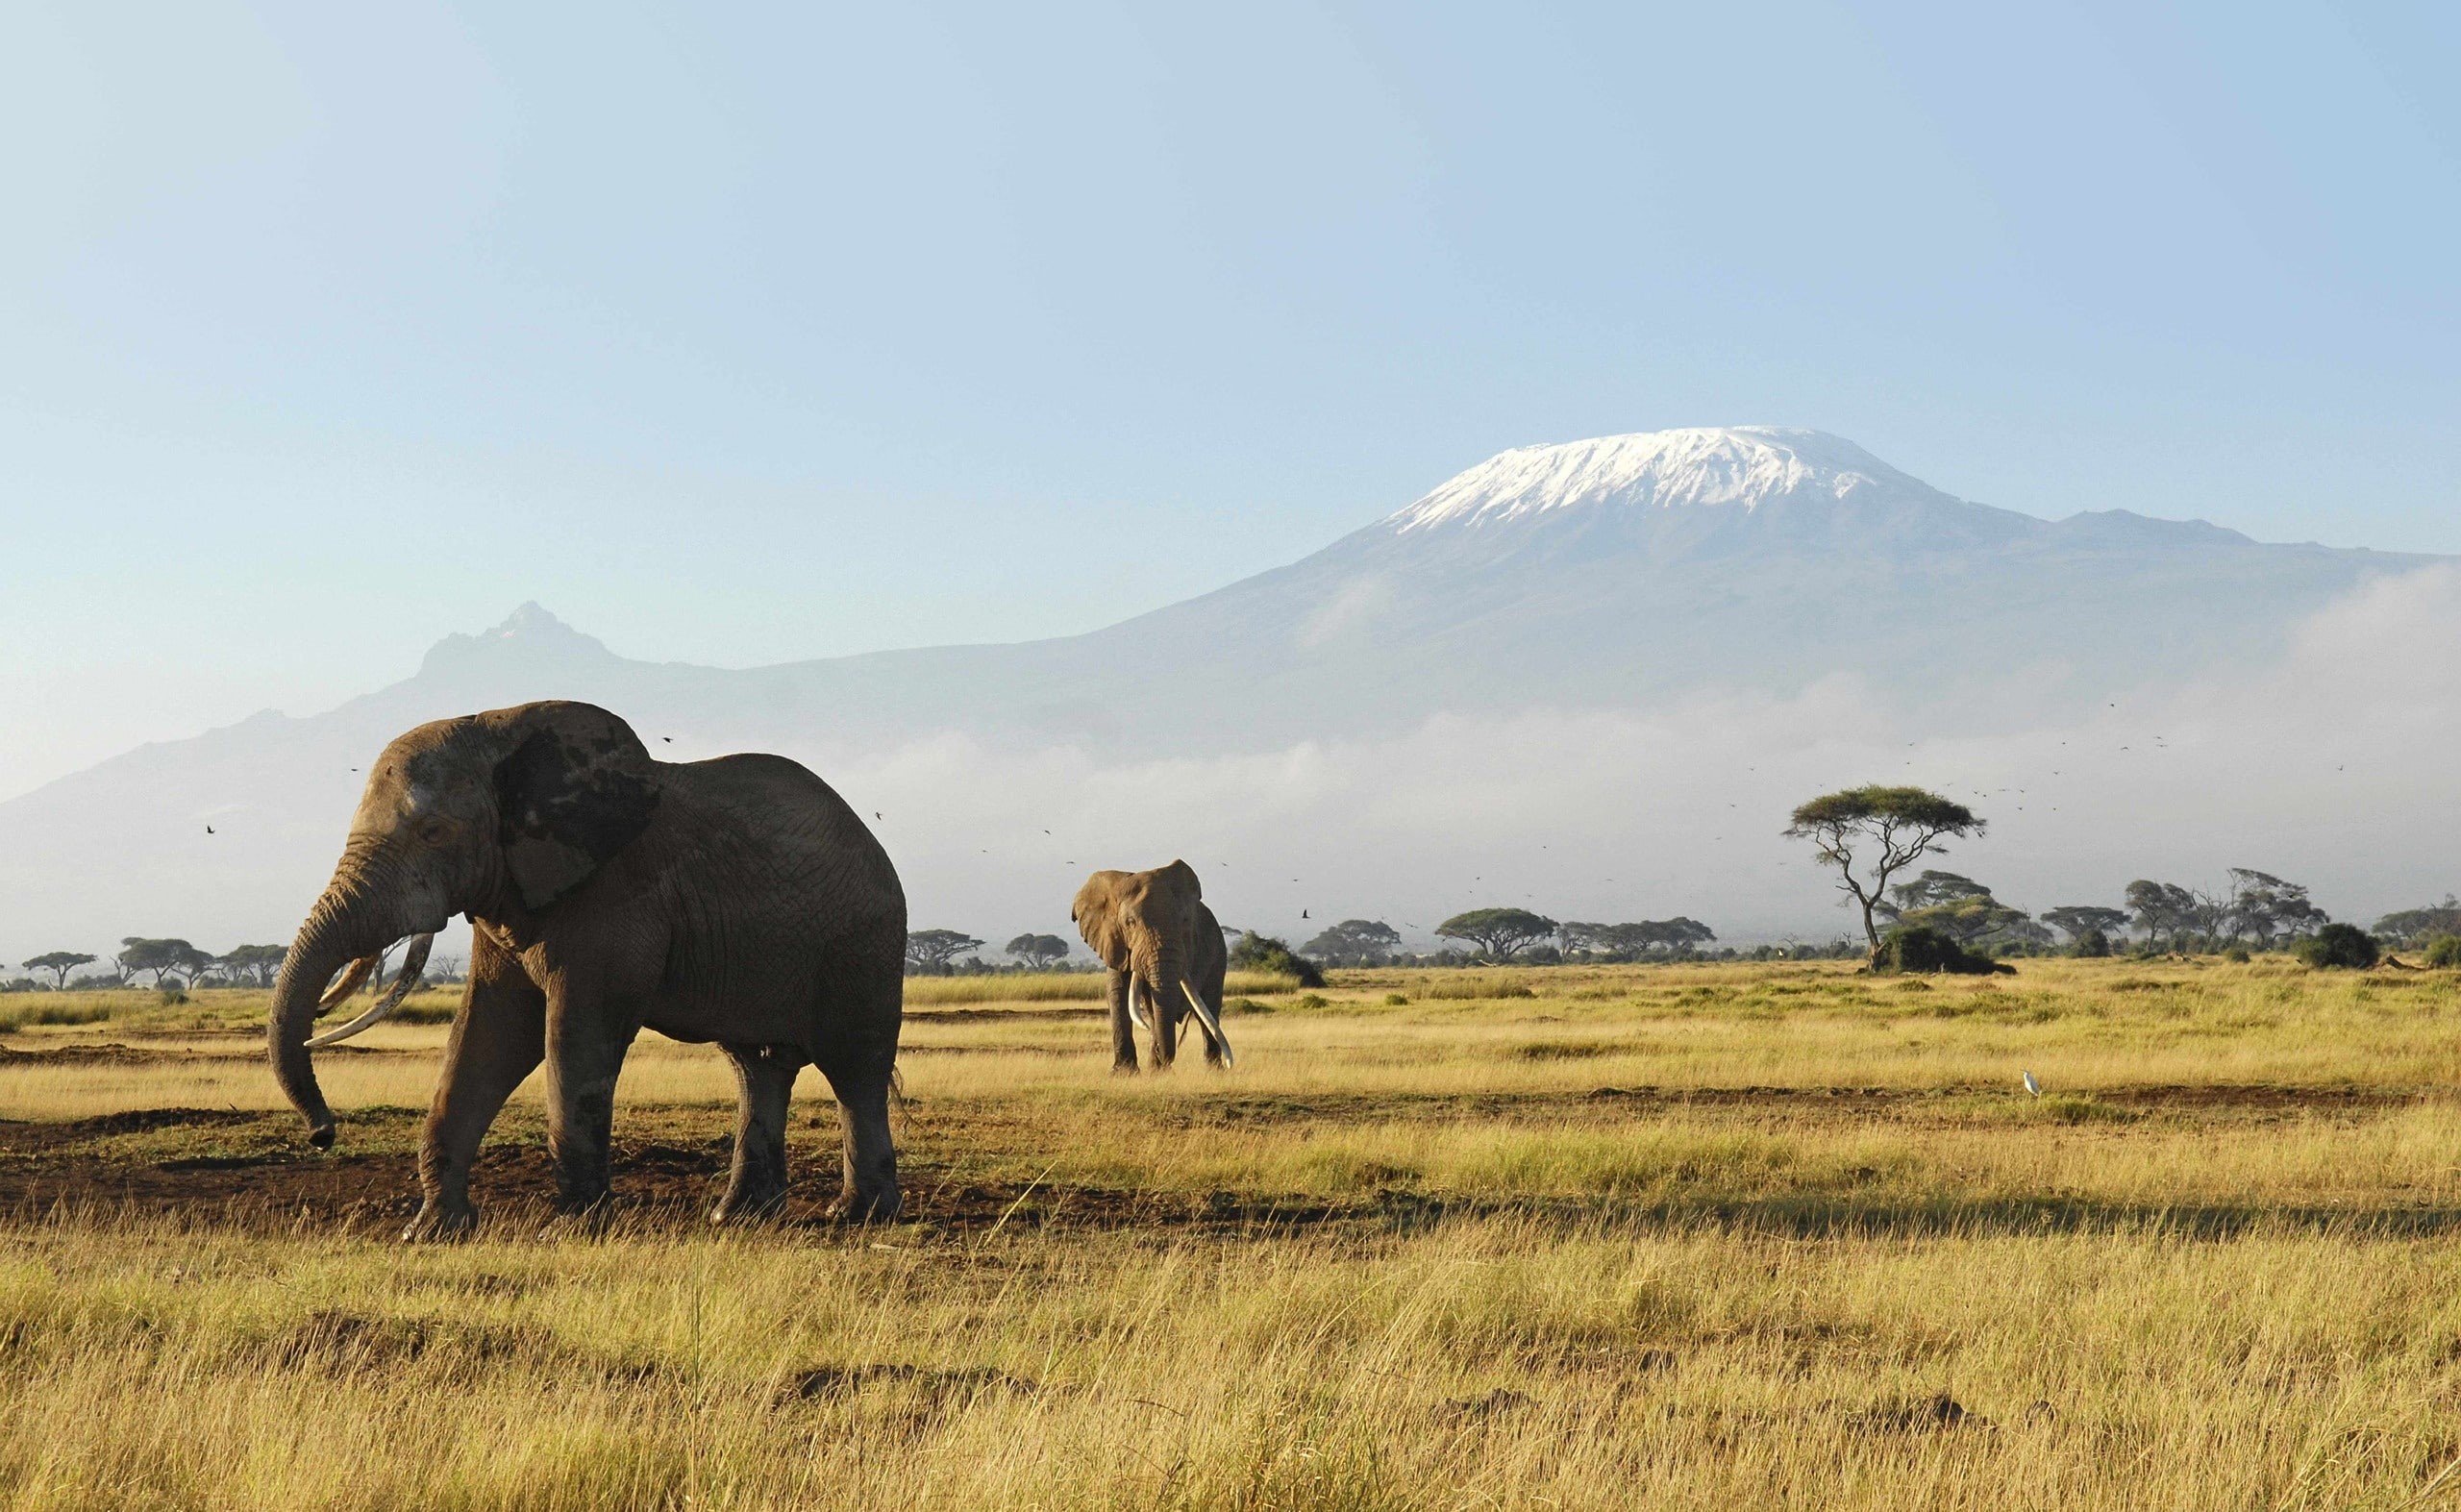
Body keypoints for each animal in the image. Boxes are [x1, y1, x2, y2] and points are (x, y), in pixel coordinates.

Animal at [267, 700, 906, 1239]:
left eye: (433, 832)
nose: (323, 1135)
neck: (499, 730)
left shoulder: (614, 896)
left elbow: (575, 1037)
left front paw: (571, 1230)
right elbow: (489, 1036)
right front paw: (431, 1233)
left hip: (864, 944)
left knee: (855, 1068)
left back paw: (858, 1216)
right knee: (758, 1066)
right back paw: (737, 1217)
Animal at [1070, 861, 1233, 1073]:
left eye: (1185, 922)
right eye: (1130, 923)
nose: (1166, 1061)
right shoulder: (1114, 941)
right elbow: (1118, 993)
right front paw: (1124, 1073)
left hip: (1219, 955)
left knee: (1208, 1010)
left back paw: (1213, 1072)